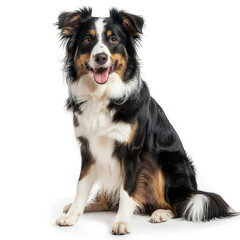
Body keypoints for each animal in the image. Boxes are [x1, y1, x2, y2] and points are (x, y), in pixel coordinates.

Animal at [54, 7, 236, 234]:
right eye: (88, 39)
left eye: (113, 39)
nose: (101, 57)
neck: (103, 95)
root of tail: (191, 189)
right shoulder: (88, 148)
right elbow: (81, 185)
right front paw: (72, 215)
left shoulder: (131, 151)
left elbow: (127, 190)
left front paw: (122, 222)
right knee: (108, 201)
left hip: (165, 163)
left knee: (178, 205)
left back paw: (161, 212)